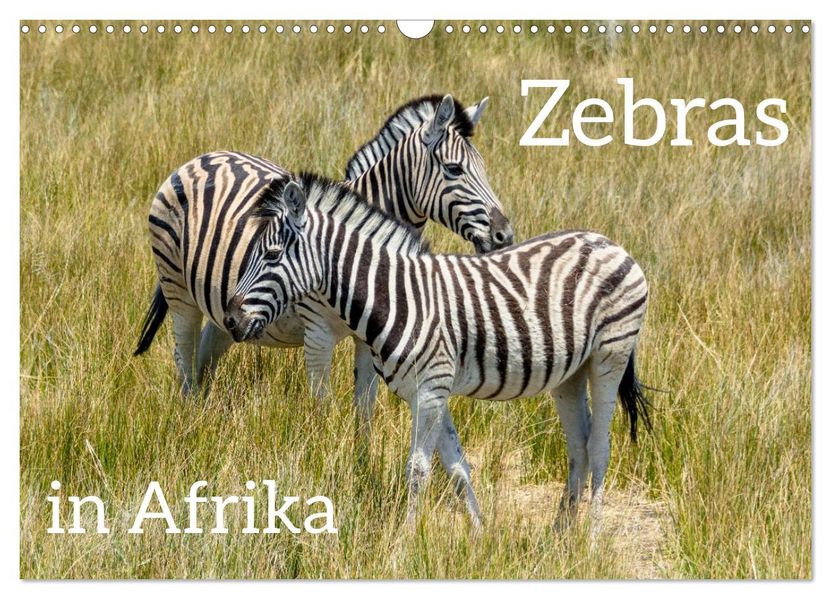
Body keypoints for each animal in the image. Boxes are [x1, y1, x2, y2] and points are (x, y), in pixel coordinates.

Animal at [134, 94, 514, 413]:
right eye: (454, 169)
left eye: (484, 168)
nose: (504, 235)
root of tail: (199, 158)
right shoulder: (317, 334)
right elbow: (321, 409)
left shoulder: (369, 339)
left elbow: (365, 409)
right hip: (178, 289)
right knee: (184, 357)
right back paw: (187, 421)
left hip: (223, 309)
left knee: (204, 358)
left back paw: (202, 419)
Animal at [223, 175, 652, 532]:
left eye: (272, 255)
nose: (230, 320)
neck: (396, 297)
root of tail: (611, 243)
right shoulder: (428, 391)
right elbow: (457, 466)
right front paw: (480, 535)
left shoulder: (431, 389)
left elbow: (418, 470)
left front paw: (405, 540)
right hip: (569, 373)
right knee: (578, 445)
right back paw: (561, 535)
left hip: (610, 356)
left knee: (599, 446)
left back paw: (591, 538)